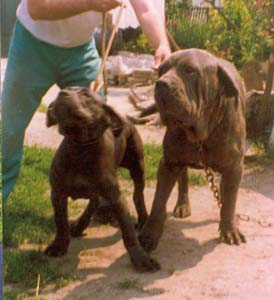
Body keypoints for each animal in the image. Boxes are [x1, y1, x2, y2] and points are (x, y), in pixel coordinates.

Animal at [44, 86, 159, 272]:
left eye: (85, 94)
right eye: (65, 90)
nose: (62, 93)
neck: (79, 148)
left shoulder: (116, 197)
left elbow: (128, 233)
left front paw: (141, 259)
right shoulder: (57, 193)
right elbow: (60, 221)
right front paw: (58, 246)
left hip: (137, 168)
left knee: (138, 195)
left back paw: (142, 220)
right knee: (95, 200)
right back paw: (80, 224)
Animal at [138, 49, 247, 253]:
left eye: (190, 70)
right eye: (162, 70)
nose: (161, 84)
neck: (201, 133)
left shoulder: (234, 167)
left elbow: (229, 200)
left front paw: (229, 229)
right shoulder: (169, 163)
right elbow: (158, 202)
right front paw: (149, 234)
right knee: (183, 179)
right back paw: (182, 205)